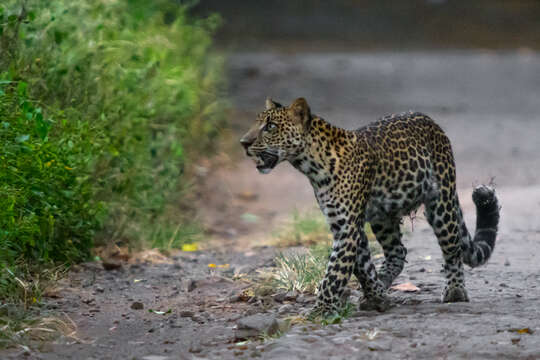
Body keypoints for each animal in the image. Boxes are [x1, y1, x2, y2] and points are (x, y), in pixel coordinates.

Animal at [238, 97, 500, 316]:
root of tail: (431, 121)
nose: (243, 142)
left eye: (270, 127)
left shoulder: (347, 227)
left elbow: (334, 272)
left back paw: (455, 291)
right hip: (383, 217)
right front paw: (376, 297)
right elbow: (361, 266)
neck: (311, 166)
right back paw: (383, 283)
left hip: (441, 202)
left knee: (452, 248)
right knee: (398, 252)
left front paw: (321, 310)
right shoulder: (343, 223)